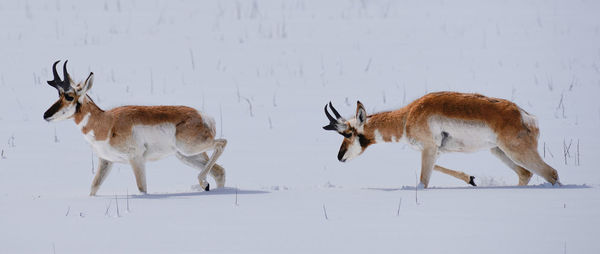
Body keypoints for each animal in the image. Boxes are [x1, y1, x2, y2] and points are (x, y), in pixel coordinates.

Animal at [44, 60, 227, 195]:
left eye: (69, 96)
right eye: (58, 95)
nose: (45, 115)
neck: (107, 122)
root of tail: (204, 116)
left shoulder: (136, 159)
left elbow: (142, 189)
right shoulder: (106, 161)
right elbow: (93, 188)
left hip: (190, 149)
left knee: (222, 143)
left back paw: (203, 184)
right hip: (186, 156)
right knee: (219, 171)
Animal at [324, 92, 564, 188]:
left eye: (348, 133)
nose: (339, 156)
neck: (407, 115)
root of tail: (525, 115)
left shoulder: (429, 149)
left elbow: (423, 182)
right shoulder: (434, 151)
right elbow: (436, 167)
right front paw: (470, 179)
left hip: (516, 152)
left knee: (551, 173)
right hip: (498, 151)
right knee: (525, 173)